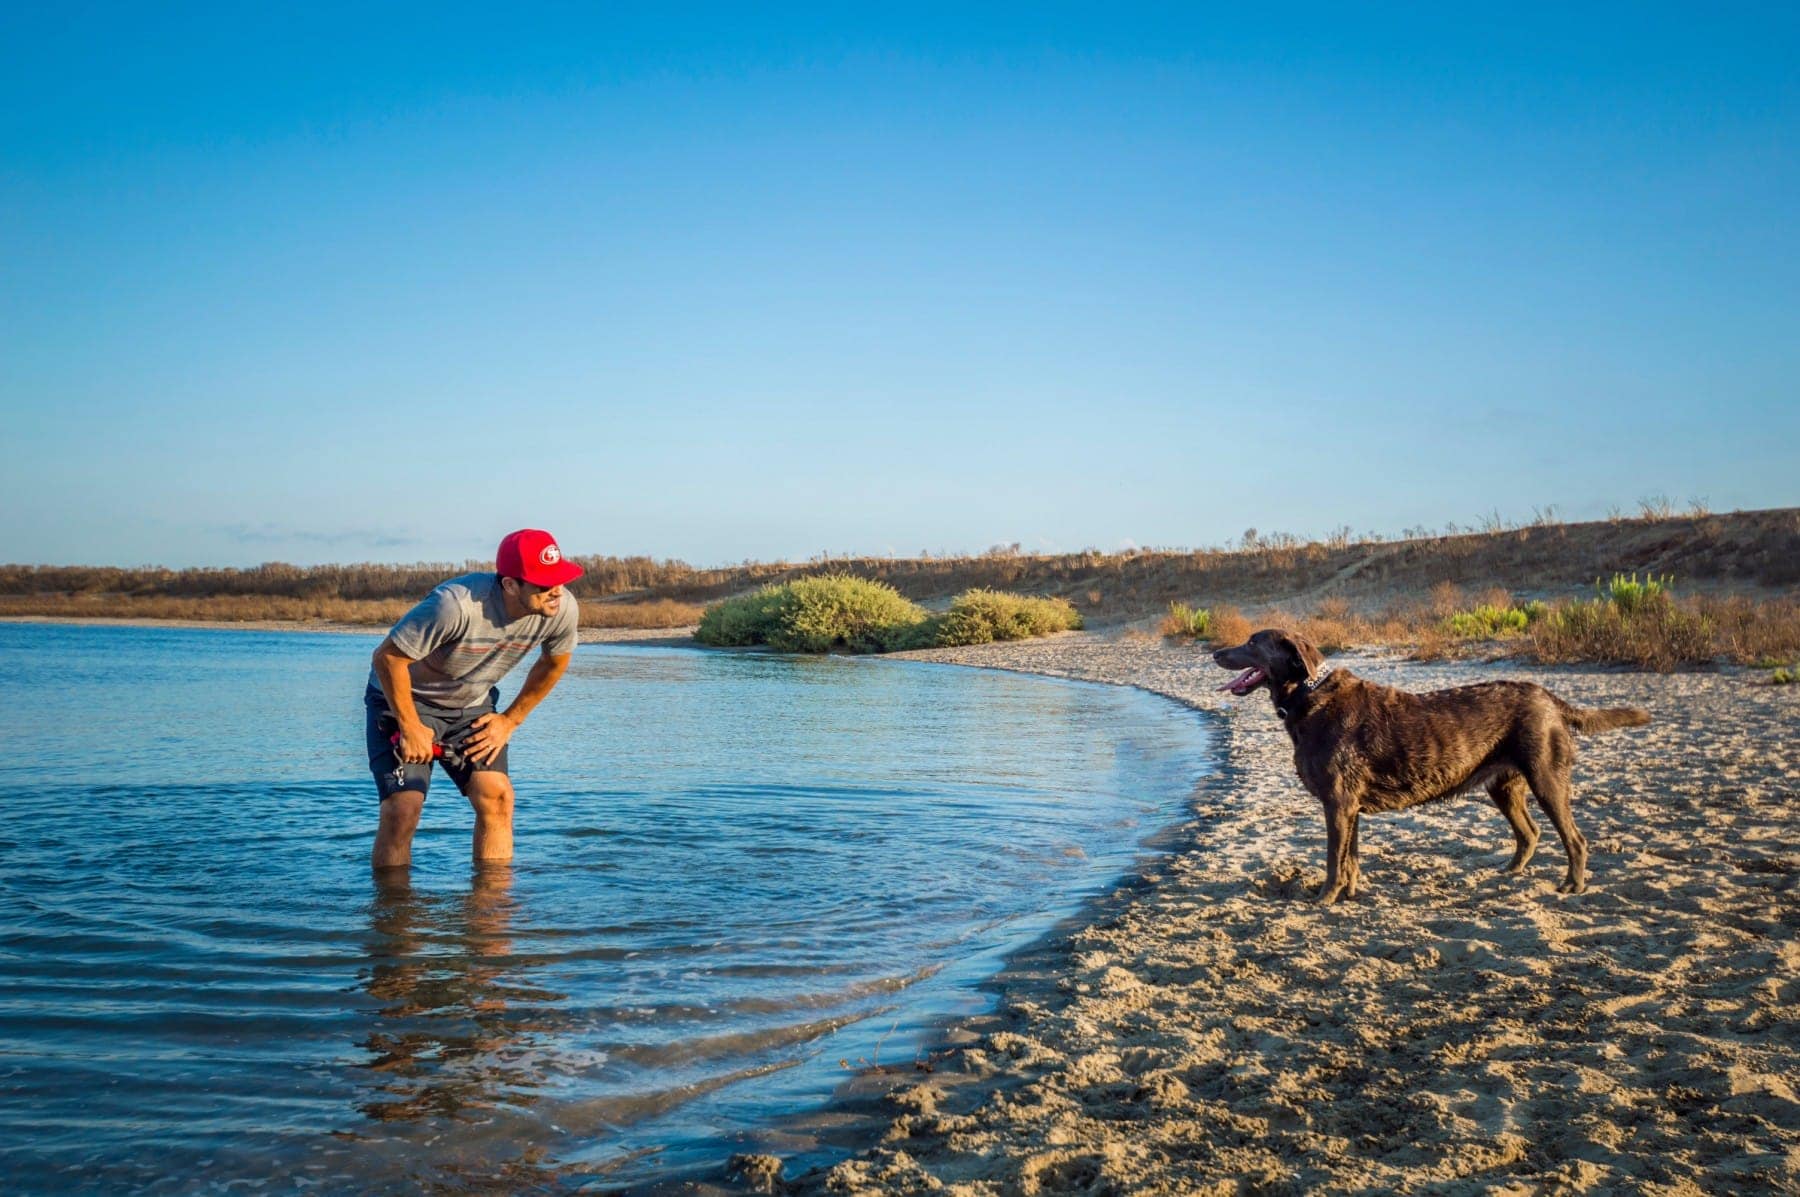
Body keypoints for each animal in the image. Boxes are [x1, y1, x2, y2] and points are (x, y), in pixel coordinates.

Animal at [1216, 630, 1648, 900]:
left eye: (1253, 641)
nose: (1215, 653)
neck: (1309, 696)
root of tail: (1549, 697)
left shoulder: (1337, 804)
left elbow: (1333, 861)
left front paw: (1324, 899)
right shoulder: (1349, 808)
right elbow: (1350, 859)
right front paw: (1349, 896)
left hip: (1547, 779)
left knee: (1575, 839)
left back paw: (1572, 886)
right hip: (1503, 786)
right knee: (1530, 833)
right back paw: (1510, 873)